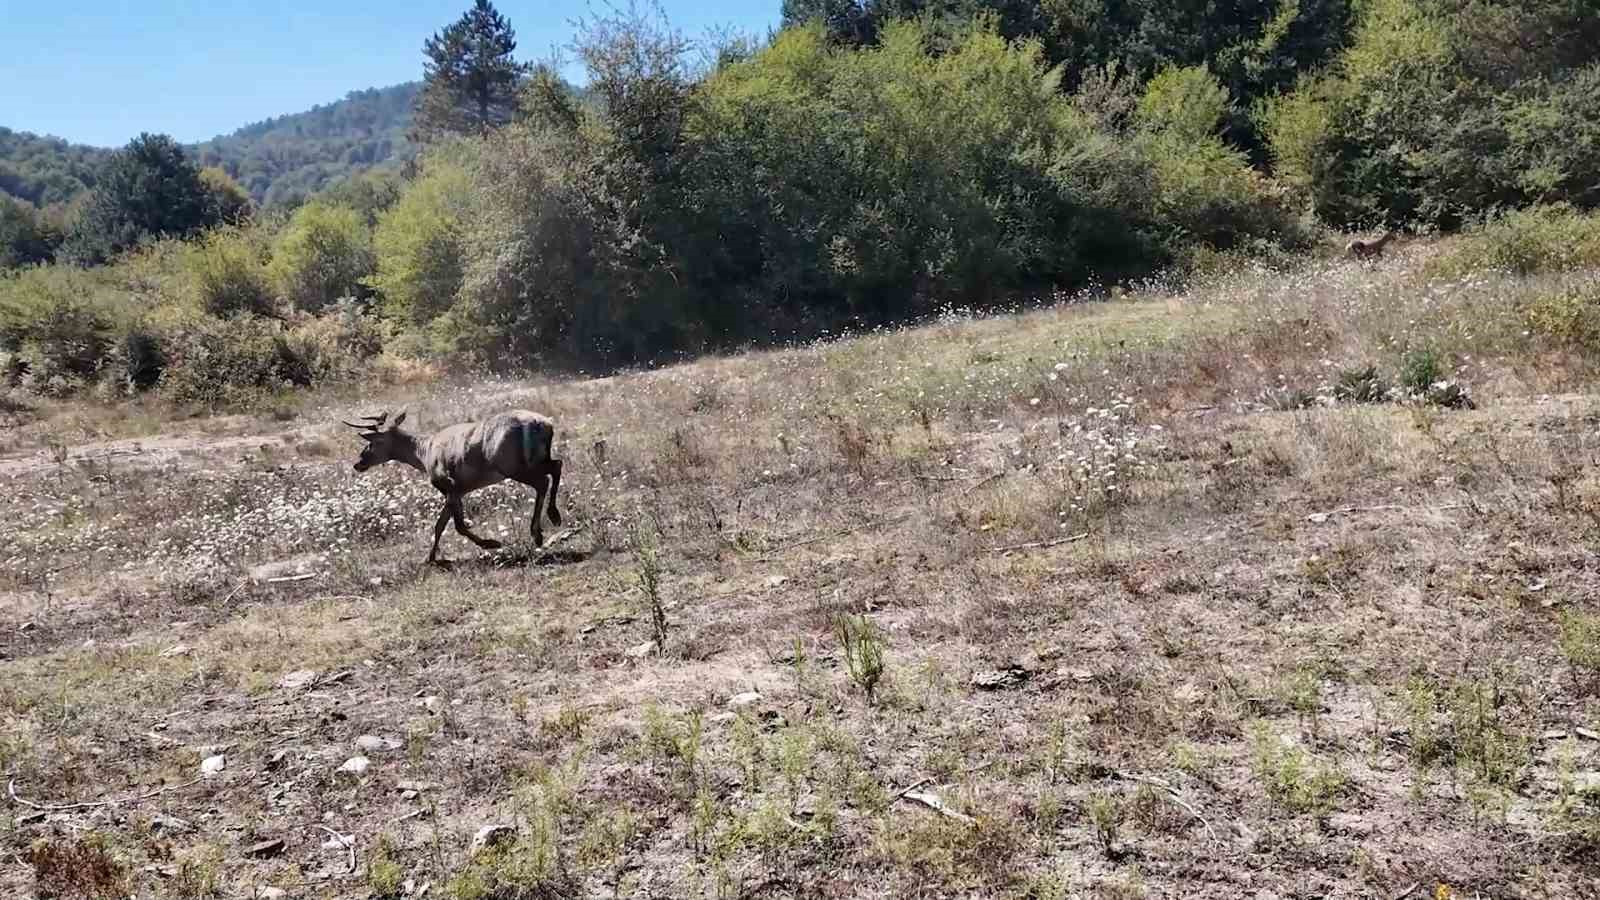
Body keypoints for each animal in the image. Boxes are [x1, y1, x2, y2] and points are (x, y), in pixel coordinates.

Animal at [342, 406, 563, 560]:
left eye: (372, 443)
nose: (358, 463)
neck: (424, 454)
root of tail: (544, 424)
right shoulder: (459, 489)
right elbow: (440, 524)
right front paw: (430, 558)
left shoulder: (448, 483)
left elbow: (457, 526)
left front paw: (491, 543)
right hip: (535, 459)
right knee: (557, 466)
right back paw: (553, 518)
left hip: (511, 465)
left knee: (543, 481)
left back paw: (539, 531)